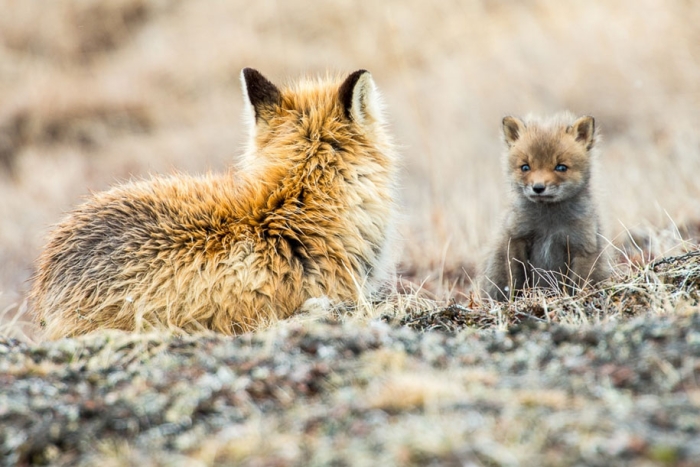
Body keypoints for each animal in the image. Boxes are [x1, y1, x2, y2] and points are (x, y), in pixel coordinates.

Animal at [481, 112, 610, 301]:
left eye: (561, 167)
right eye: (525, 167)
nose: (538, 188)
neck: (549, 225)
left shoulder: (583, 246)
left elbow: (578, 284)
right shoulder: (517, 239)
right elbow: (516, 280)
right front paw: (516, 301)